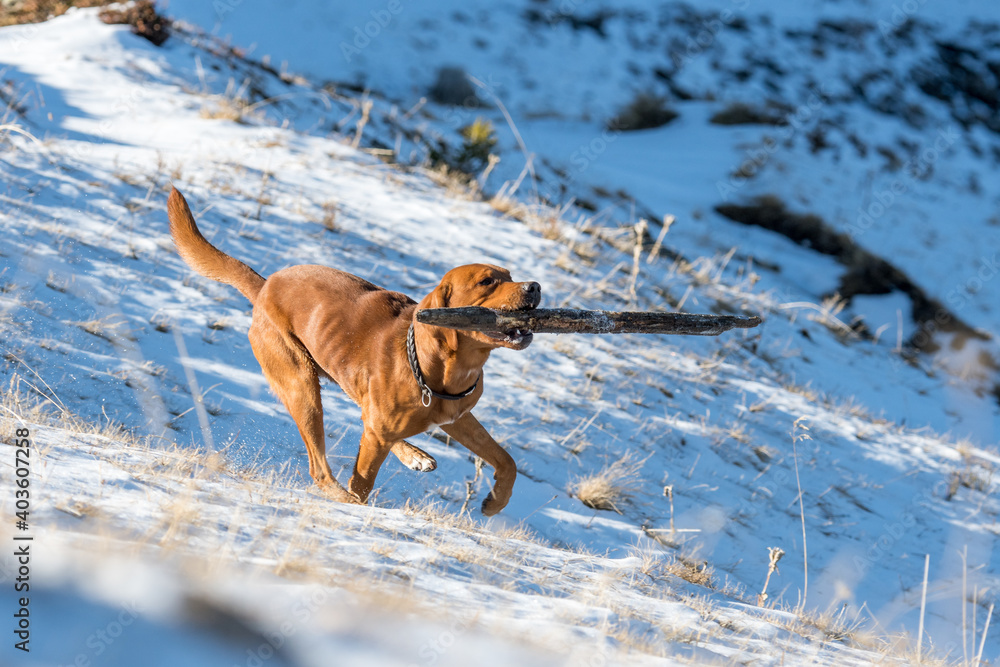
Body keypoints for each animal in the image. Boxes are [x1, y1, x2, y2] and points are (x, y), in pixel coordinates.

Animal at [166, 189, 540, 516]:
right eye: (487, 281)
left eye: (509, 275)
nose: (534, 287)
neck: (442, 366)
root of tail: (264, 287)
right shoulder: (387, 429)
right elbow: (362, 481)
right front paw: (358, 508)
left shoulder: (458, 417)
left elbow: (507, 460)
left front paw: (496, 502)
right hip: (300, 385)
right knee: (319, 466)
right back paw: (342, 496)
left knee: (365, 418)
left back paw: (412, 455)